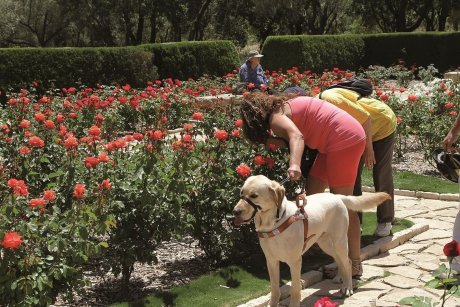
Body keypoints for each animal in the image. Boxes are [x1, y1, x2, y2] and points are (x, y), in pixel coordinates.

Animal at [234, 176, 388, 307]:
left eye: (254, 195)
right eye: (241, 193)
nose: (235, 211)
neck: (274, 223)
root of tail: (336, 196)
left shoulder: (295, 261)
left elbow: (295, 288)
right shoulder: (271, 261)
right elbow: (275, 289)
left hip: (339, 241)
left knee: (347, 261)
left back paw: (347, 287)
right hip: (325, 243)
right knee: (341, 260)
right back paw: (340, 278)